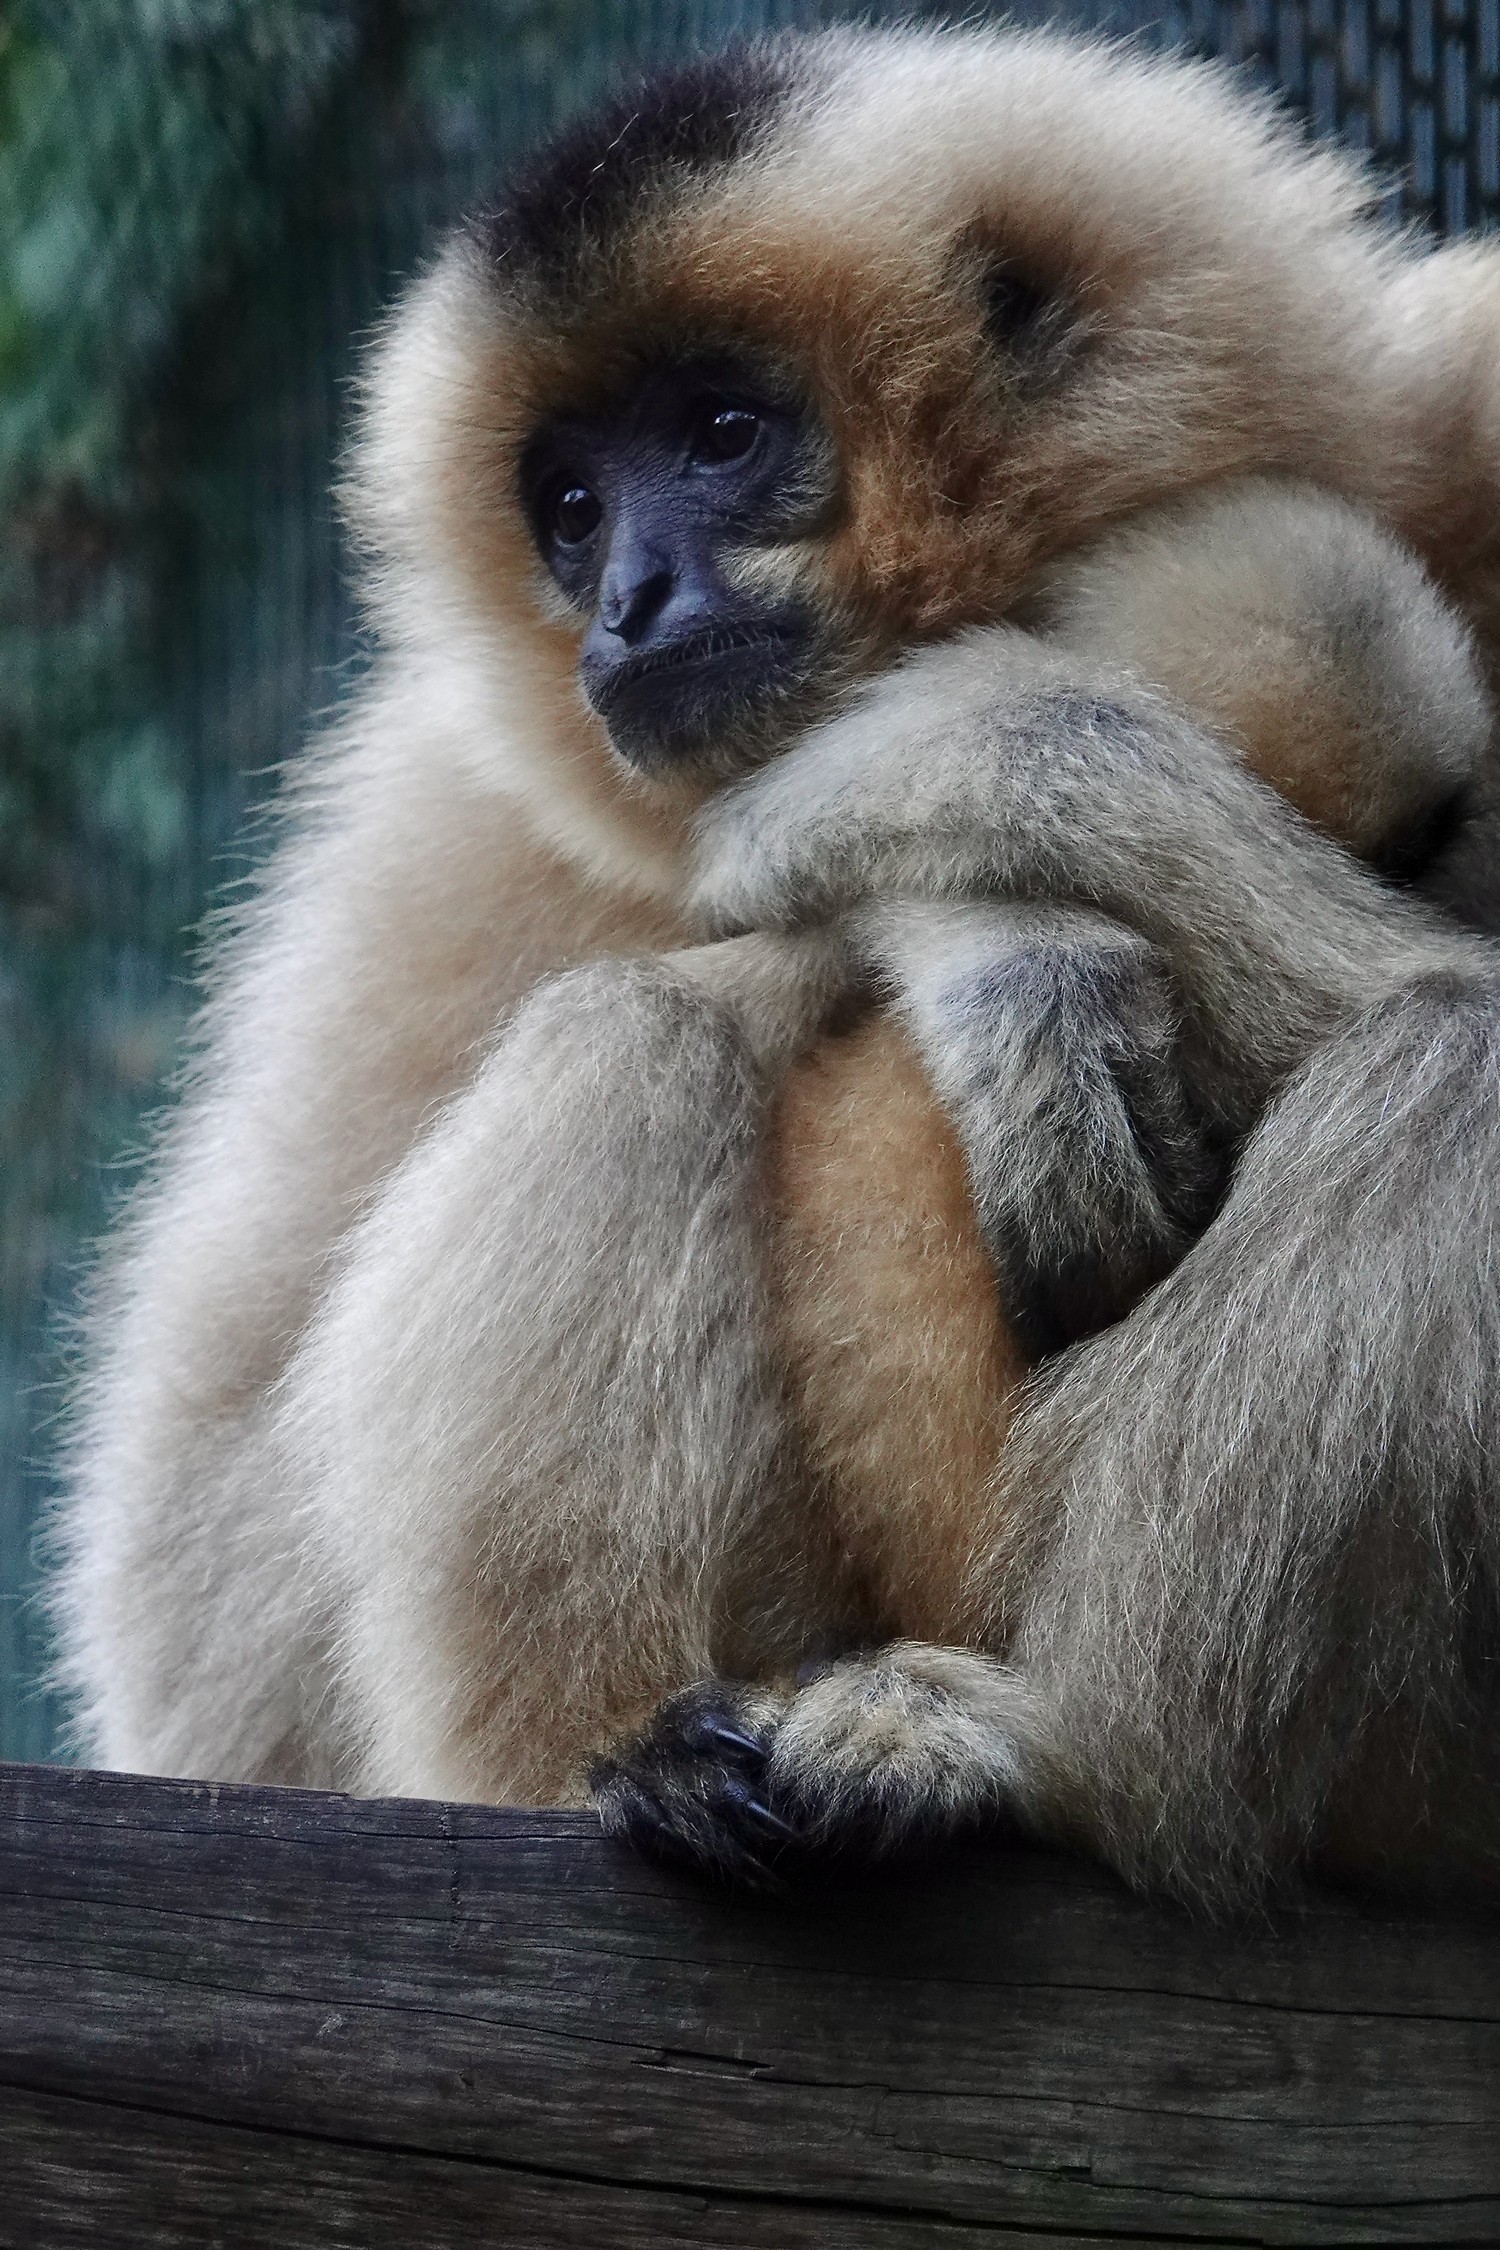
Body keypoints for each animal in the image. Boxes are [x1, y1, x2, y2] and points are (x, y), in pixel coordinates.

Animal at [49, 24, 1500, 1908]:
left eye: (723, 435)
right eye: (571, 506)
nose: (630, 598)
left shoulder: (1450, 405)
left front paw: (963, 768)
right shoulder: (458, 807)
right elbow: (212, 1606)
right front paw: (997, 920)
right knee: (638, 1026)